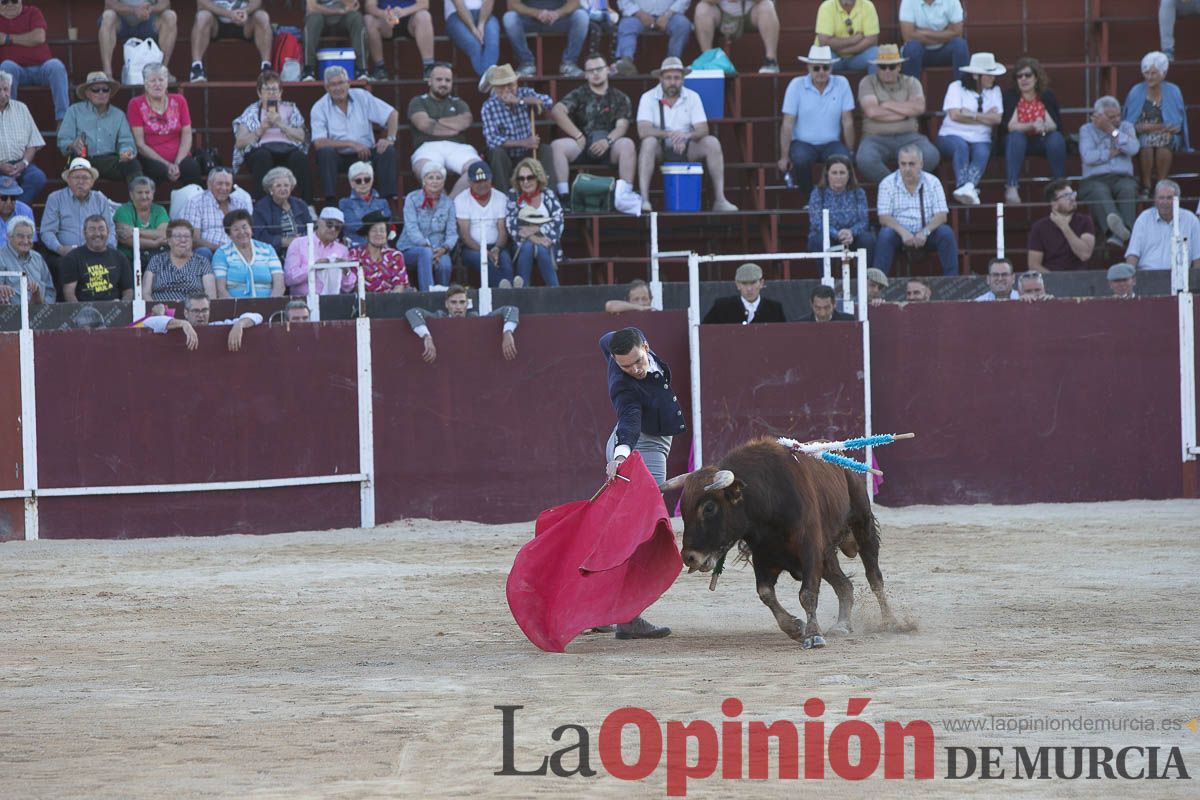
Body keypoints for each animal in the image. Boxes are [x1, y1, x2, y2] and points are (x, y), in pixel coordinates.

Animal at [662, 438, 897, 652]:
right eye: (684, 509)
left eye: (709, 508)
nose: (689, 557)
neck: (767, 500)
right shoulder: (763, 557)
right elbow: (766, 593)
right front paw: (797, 628)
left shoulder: (810, 551)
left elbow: (807, 594)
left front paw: (813, 636)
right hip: (827, 554)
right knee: (845, 586)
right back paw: (842, 625)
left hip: (862, 524)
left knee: (874, 577)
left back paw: (890, 622)